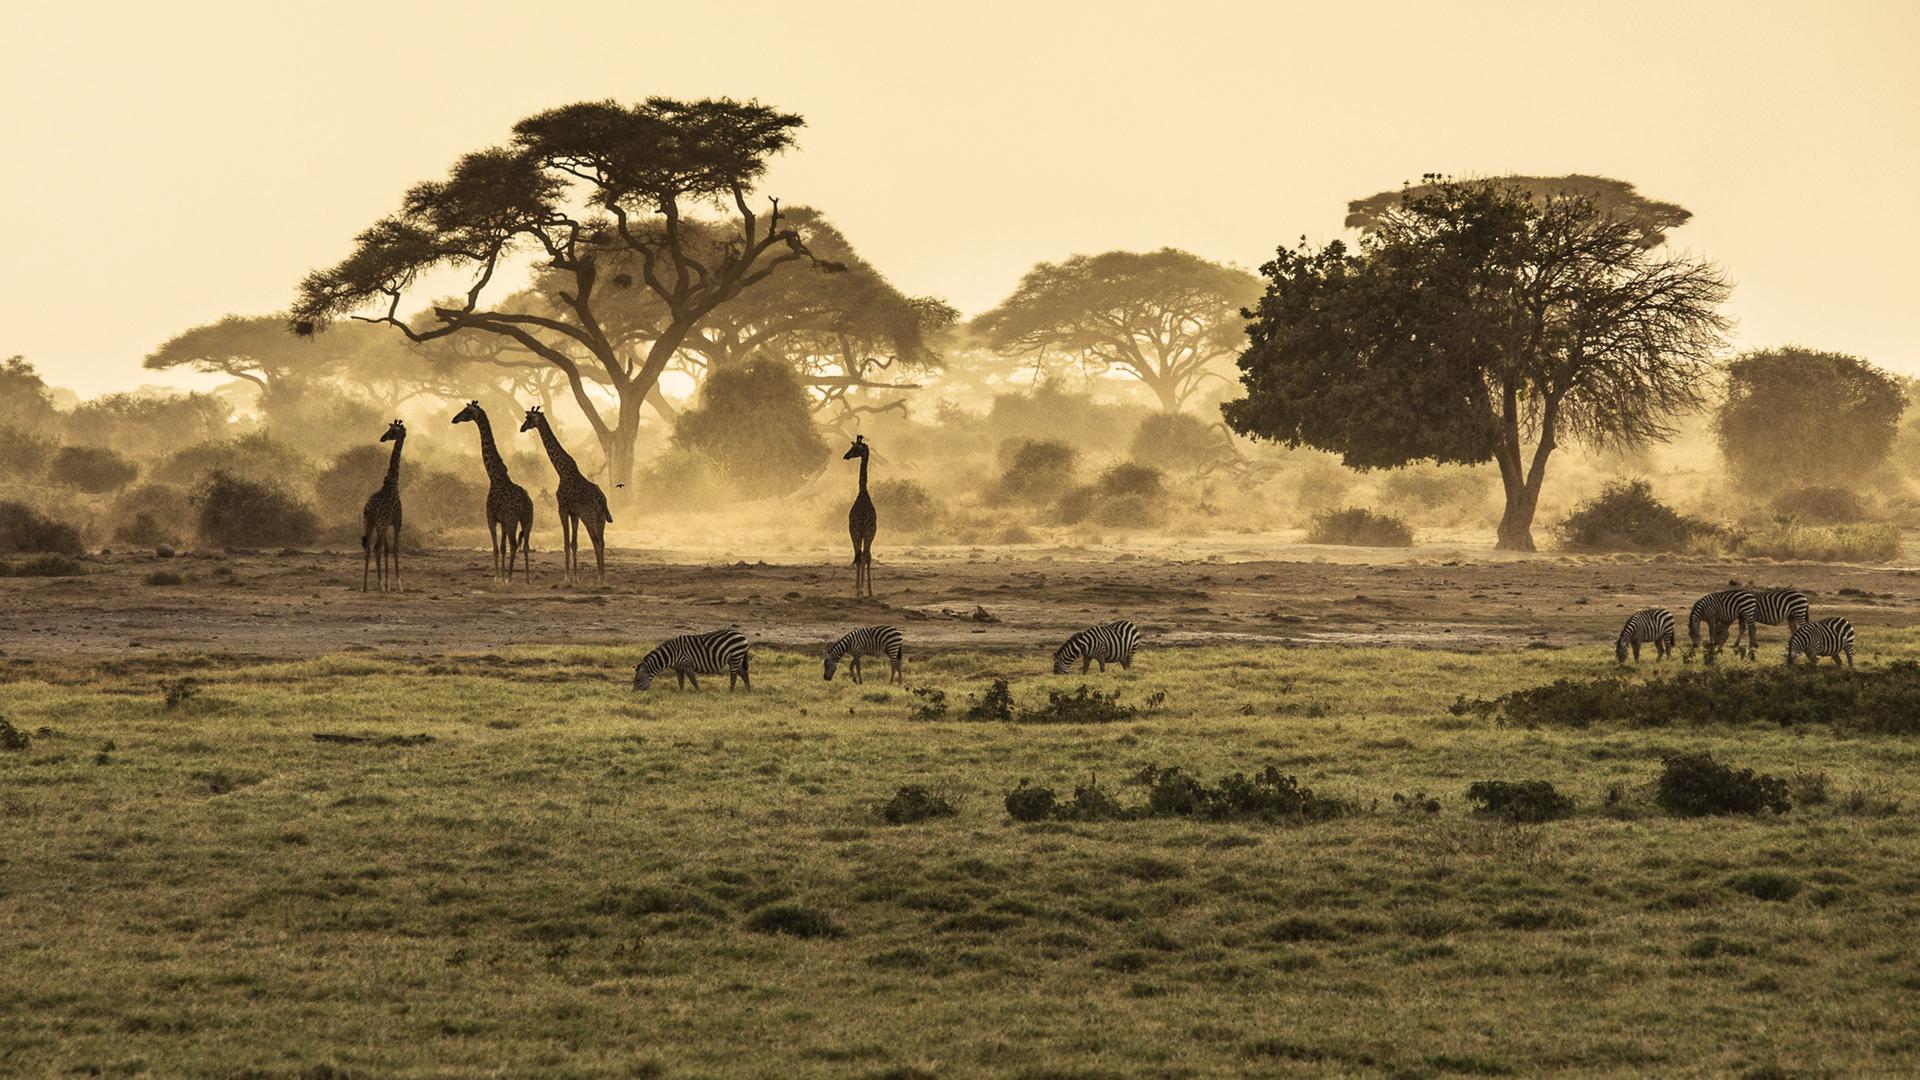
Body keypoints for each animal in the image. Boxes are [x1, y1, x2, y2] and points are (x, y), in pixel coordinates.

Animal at [360, 418, 407, 588]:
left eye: (393, 431)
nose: (382, 438)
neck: (392, 484)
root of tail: (369, 508)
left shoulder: (387, 524)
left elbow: (387, 550)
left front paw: (388, 585)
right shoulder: (397, 521)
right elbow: (395, 549)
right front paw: (398, 585)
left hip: (369, 522)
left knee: (368, 548)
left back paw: (365, 586)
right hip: (380, 523)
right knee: (376, 547)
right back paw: (379, 585)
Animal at [453, 399, 537, 580]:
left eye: (466, 411)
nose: (454, 419)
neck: (494, 476)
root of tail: (526, 502)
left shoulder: (491, 517)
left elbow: (496, 549)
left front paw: (498, 578)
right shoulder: (503, 521)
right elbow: (503, 548)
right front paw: (502, 576)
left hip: (513, 520)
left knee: (515, 544)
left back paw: (511, 578)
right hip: (528, 519)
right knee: (525, 545)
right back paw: (526, 579)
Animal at [518, 403, 606, 580]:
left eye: (528, 418)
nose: (521, 428)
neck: (561, 470)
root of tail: (602, 500)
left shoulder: (562, 508)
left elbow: (566, 543)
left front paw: (566, 576)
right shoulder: (574, 513)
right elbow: (574, 543)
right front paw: (576, 577)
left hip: (589, 516)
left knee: (596, 540)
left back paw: (600, 577)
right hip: (601, 519)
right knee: (601, 542)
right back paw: (602, 575)